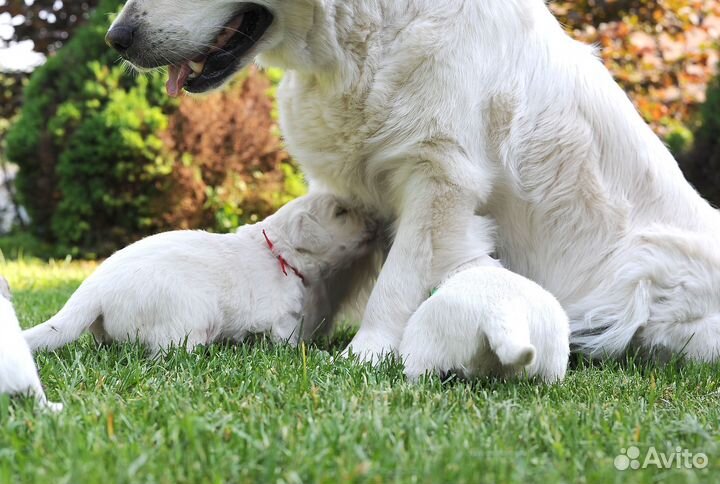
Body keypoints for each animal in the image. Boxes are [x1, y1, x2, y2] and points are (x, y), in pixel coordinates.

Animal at [23, 194, 376, 356]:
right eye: (341, 213)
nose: (374, 220)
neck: (279, 249)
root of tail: (93, 289)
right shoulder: (281, 318)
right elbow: (287, 339)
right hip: (184, 319)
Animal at [107, 0, 720, 364]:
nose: (117, 36)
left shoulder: (438, 176)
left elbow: (396, 283)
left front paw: (364, 357)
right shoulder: (355, 195)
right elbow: (330, 271)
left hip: (647, 266)